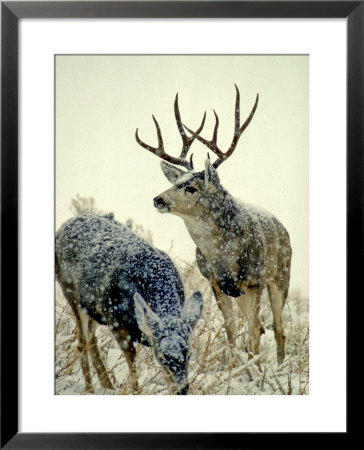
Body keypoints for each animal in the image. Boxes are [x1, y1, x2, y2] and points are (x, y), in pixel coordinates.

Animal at [55, 214, 202, 394]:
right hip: (72, 295)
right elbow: (131, 357)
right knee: (82, 341)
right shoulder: (114, 318)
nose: (182, 389)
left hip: (94, 307)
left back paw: (107, 386)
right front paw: (135, 391)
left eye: (189, 355)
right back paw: (90, 389)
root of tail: (64, 226)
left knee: (91, 338)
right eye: (161, 357)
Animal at [135, 85, 292, 366]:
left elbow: (253, 330)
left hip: (280, 276)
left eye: (191, 187)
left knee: (277, 328)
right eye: (178, 181)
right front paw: (236, 364)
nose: (158, 199)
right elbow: (231, 329)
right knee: (261, 327)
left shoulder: (255, 280)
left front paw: (252, 369)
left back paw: (279, 366)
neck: (224, 257)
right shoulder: (215, 282)